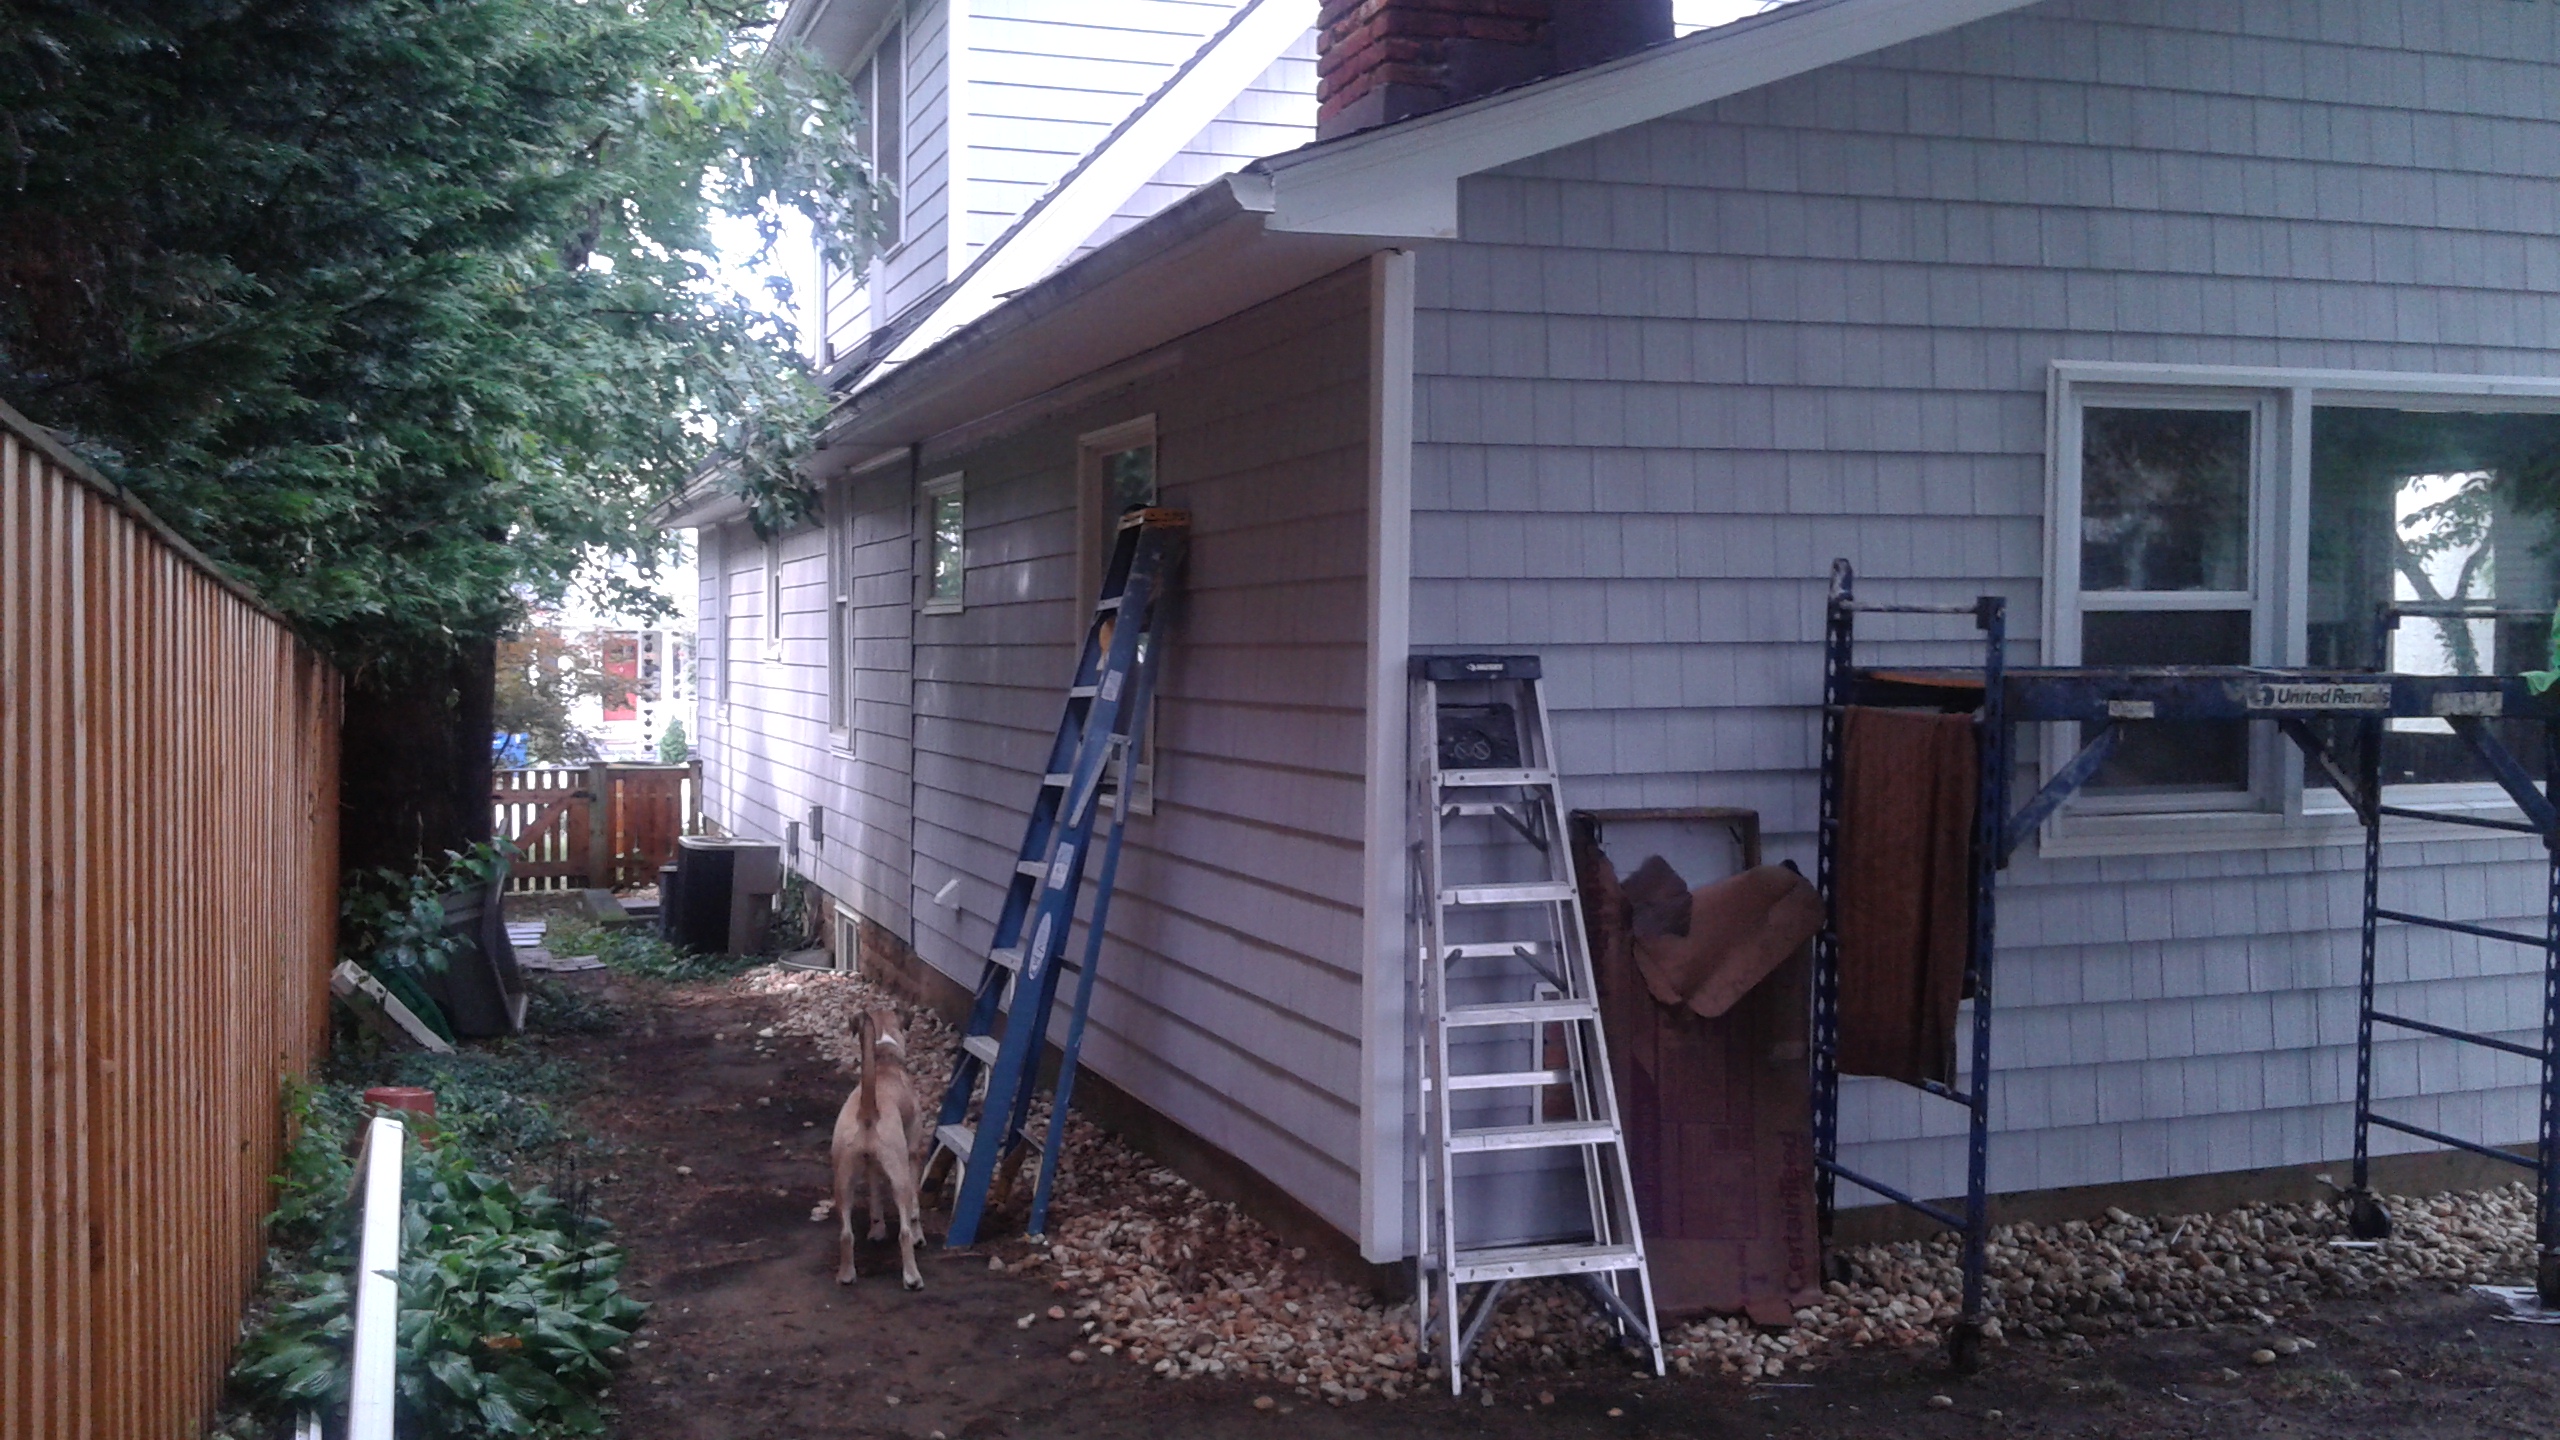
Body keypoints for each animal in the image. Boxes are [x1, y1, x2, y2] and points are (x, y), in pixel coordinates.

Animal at [834, 1004, 926, 1281]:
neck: (884, 1060)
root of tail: (868, 1110)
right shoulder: (912, 1156)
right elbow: (915, 1210)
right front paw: (919, 1237)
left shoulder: (872, 1165)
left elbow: (875, 1196)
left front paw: (877, 1230)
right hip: (900, 1176)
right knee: (904, 1231)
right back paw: (912, 1277)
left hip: (843, 1180)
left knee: (846, 1233)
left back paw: (846, 1274)